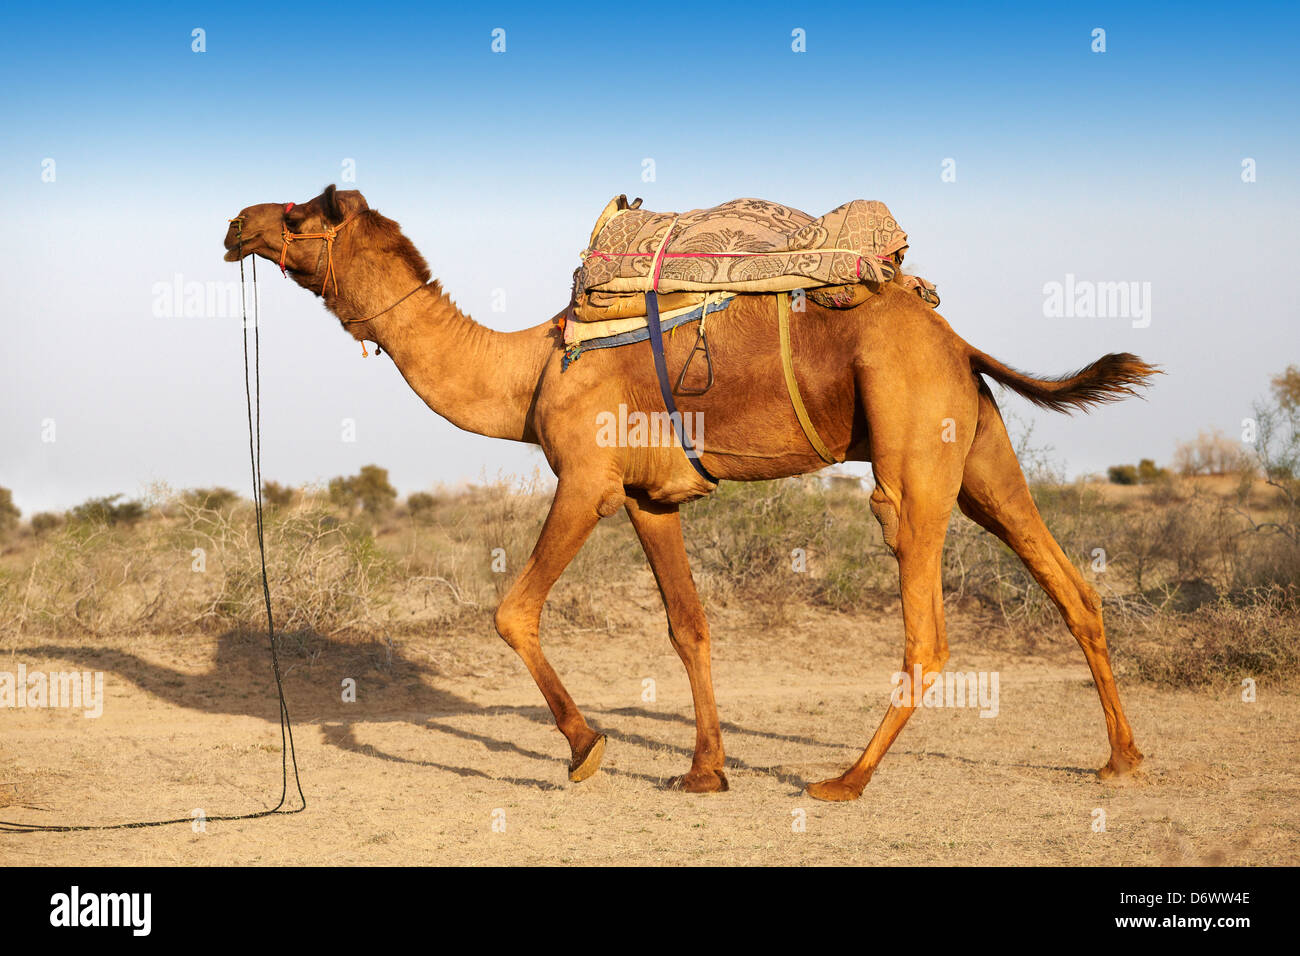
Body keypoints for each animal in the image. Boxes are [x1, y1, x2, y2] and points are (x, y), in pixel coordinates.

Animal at [223, 187, 1159, 801]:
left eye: (300, 216)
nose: (236, 224)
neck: (528, 370)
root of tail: (956, 339)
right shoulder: (652, 499)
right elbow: (689, 628)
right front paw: (704, 770)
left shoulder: (588, 481)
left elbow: (512, 611)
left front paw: (585, 749)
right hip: (980, 451)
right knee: (1071, 588)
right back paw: (1121, 759)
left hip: (910, 449)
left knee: (925, 627)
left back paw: (846, 779)